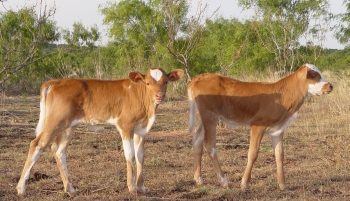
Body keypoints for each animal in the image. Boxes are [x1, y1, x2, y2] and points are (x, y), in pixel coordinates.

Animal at [16, 67, 185, 196]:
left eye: (166, 82)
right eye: (148, 83)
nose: (159, 95)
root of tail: (57, 81)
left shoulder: (141, 130)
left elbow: (140, 157)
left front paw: (141, 187)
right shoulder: (125, 126)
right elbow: (130, 156)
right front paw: (132, 188)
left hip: (69, 125)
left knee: (58, 149)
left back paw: (70, 189)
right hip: (55, 121)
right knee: (37, 144)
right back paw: (21, 189)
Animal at [189, 64, 334, 190]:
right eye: (314, 75)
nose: (330, 85)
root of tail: (199, 77)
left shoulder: (278, 130)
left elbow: (279, 155)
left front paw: (283, 185)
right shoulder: (258, 125)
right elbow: (253, 153)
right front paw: (245, 183)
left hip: (206, 119)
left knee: (197, 140)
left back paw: (198, 178)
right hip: (210, 117)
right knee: (209, 145)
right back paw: (224, 181)